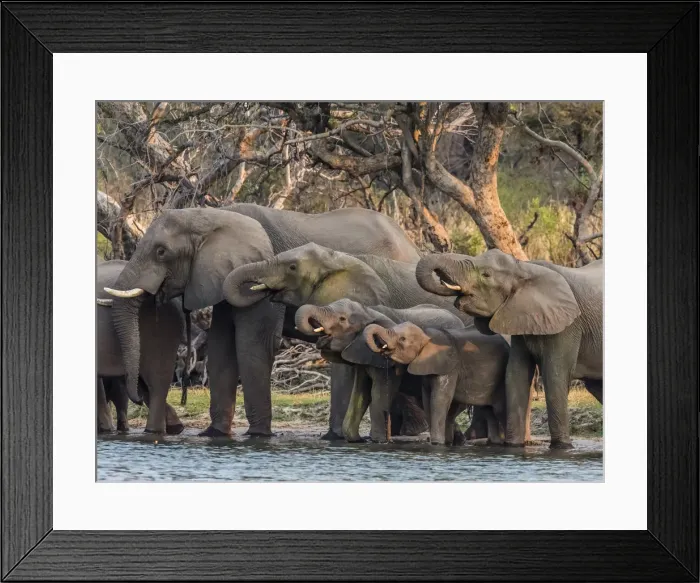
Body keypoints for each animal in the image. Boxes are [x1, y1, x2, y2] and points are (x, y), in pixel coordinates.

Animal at [295, 298, 465, 442]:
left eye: (342, 319)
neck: (368, 311)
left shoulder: (383, 360)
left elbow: (379, 393)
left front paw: (378, 441)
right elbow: (360, 393)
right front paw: (356, 440)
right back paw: (458, 439)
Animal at [361, 321, 510, 445]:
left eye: (402, 339)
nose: (381, 348)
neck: (426, 336)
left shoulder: (449, 366)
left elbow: (439, 400)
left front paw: (437, 443)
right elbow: (427, 400)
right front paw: (441, 442)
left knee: (499, 409)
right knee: (488, 411)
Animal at [415, 249, 603, 448]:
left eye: (486, 275)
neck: (524, 269)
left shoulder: (568, 326)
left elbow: (555, 377)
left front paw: (562, 447)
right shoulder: (520, 319)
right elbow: (515, 375)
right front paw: (513, 446)